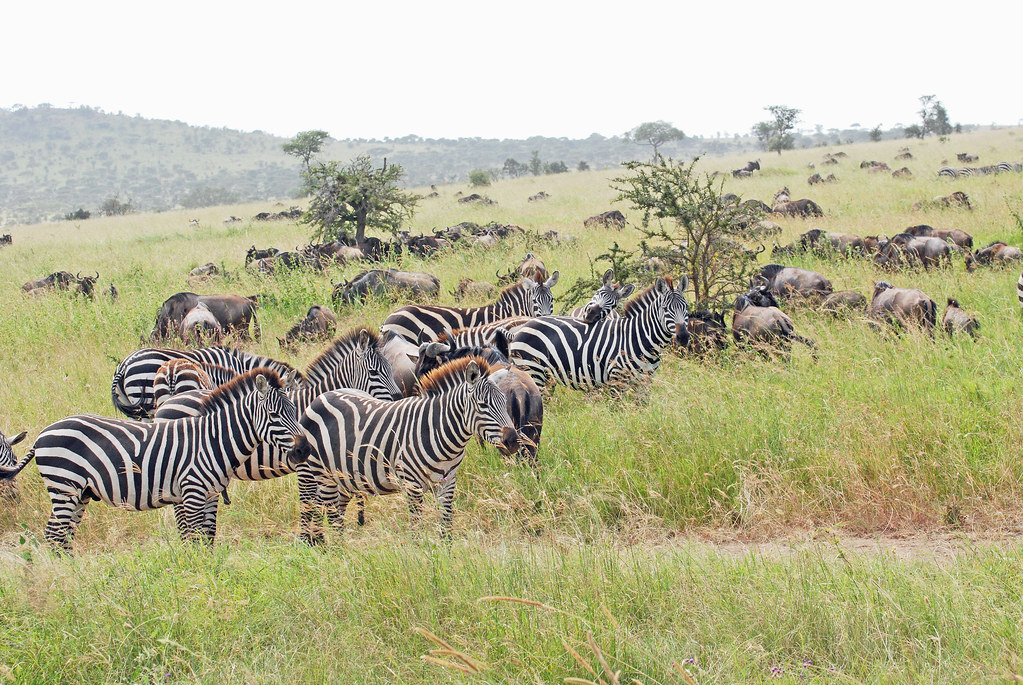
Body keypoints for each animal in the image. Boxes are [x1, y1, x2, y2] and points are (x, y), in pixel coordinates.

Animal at [24, 369, 308, 552]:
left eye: (295, 410)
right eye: (273, 414)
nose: (303, 450)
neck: (213, 439)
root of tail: (42, 435)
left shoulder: (209, 494)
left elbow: (207, 537)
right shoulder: (193, 493)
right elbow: (194, 538)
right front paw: (197, 577)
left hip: (79, 493)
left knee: (62, 535)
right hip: (64, 486)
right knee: (55, 534)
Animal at [298, 356, 518, 544]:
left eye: (504, 402)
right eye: (483, 405)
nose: (513, 441)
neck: (437, 430)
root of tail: (321, 397)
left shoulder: (447, 483)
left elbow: (446, 527)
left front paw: (448, 558)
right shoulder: (412, 485)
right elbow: (416, 529)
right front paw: (423, 558)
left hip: (343, 477)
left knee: (334, 512)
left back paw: (332, 547)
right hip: (319, 474)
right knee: (321, 511)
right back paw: (330, 550)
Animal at [509, 276, 690, 389]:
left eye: (686, 307)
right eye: (665, 309)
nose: (683, 337)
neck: (638, 338)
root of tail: (526, 325)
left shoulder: (644, 383)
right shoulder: (617, 381)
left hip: (547, 378)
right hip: (533, 371)